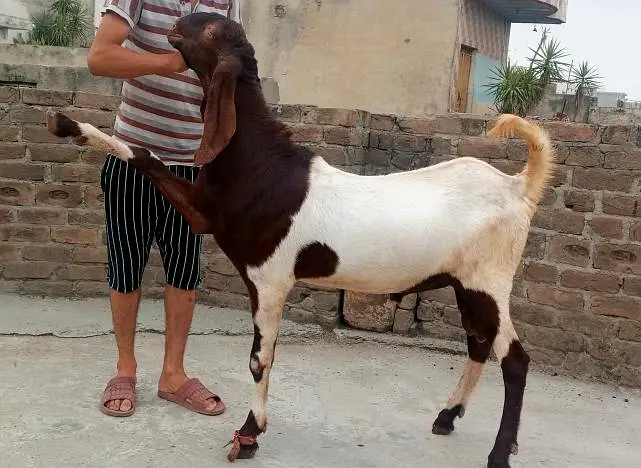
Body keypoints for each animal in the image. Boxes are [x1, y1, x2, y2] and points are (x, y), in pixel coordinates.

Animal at [47, 12, 555, 468]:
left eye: (211, 29)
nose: (172, 25)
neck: (262, 164)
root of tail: (519, 186)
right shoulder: (205, 215)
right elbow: (144, 155)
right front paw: (69, 125)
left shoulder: (270, 279)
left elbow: (260, 359)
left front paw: (248, 436)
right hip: (465, 283)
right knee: (479, 343)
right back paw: (447, 417)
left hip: (488, 281)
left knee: (515, 359)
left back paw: (498, 454)